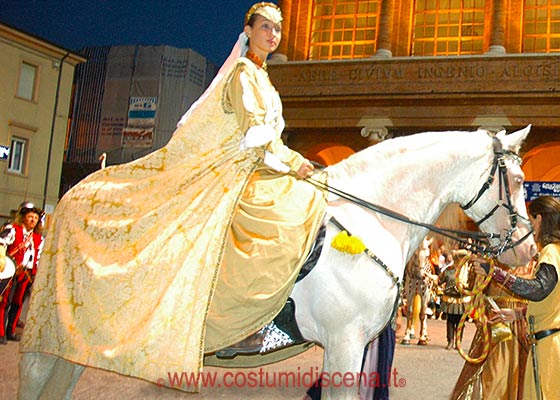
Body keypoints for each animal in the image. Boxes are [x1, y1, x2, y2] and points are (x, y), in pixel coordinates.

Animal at [17, 126, 536, 398]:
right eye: (514, 179)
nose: (528, 249)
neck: (368, 217)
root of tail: (74, 193)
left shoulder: (356, 346)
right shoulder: (344, 344)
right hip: (52, 335)